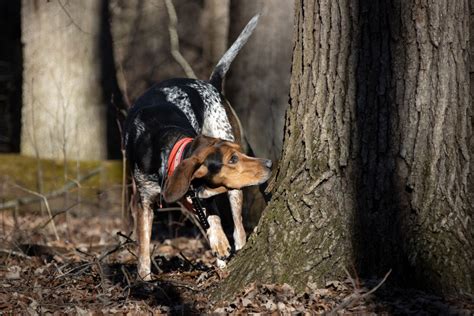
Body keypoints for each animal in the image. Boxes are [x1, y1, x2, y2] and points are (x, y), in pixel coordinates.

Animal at [123, 16, 270, 280]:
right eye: (231, 159)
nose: (269, 163)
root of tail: (210, 83)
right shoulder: (146, 201)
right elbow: (144, 248)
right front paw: (145, 280)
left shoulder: (199, 192)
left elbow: (215, 221)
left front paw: (220, 243)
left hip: (233, 186)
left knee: (238, 229)